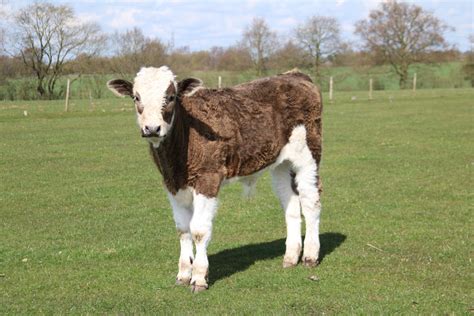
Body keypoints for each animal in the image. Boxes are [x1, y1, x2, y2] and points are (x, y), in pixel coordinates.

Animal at [107, 67, 322, 294]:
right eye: (136, 97)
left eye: (171, 97)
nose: (152, 128)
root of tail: (294, 74)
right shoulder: (171, 184)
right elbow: (183, 229)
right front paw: (184, 274)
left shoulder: (207, 179)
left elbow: (199, 230)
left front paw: (199, 277)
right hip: (281, 164)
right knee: (291, 205)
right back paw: (291, 257)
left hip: (308, 155)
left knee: (311, 202)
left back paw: (310, 256)